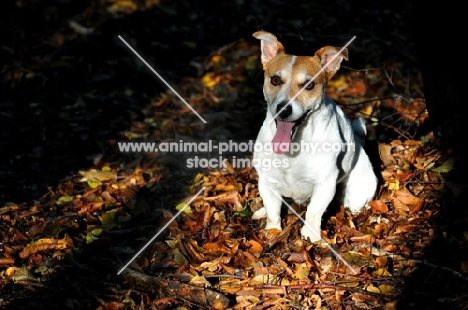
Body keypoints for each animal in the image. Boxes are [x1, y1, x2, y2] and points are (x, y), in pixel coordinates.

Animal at [252, 31, 376, 241]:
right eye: (275, 80)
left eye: (309, 85)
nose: (284, 109)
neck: (294, 145)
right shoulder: (267, 181)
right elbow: (272, 210)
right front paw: (273, 230)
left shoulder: (325, 183)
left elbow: (313, 211)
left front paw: (311, 235)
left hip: (356, 196)